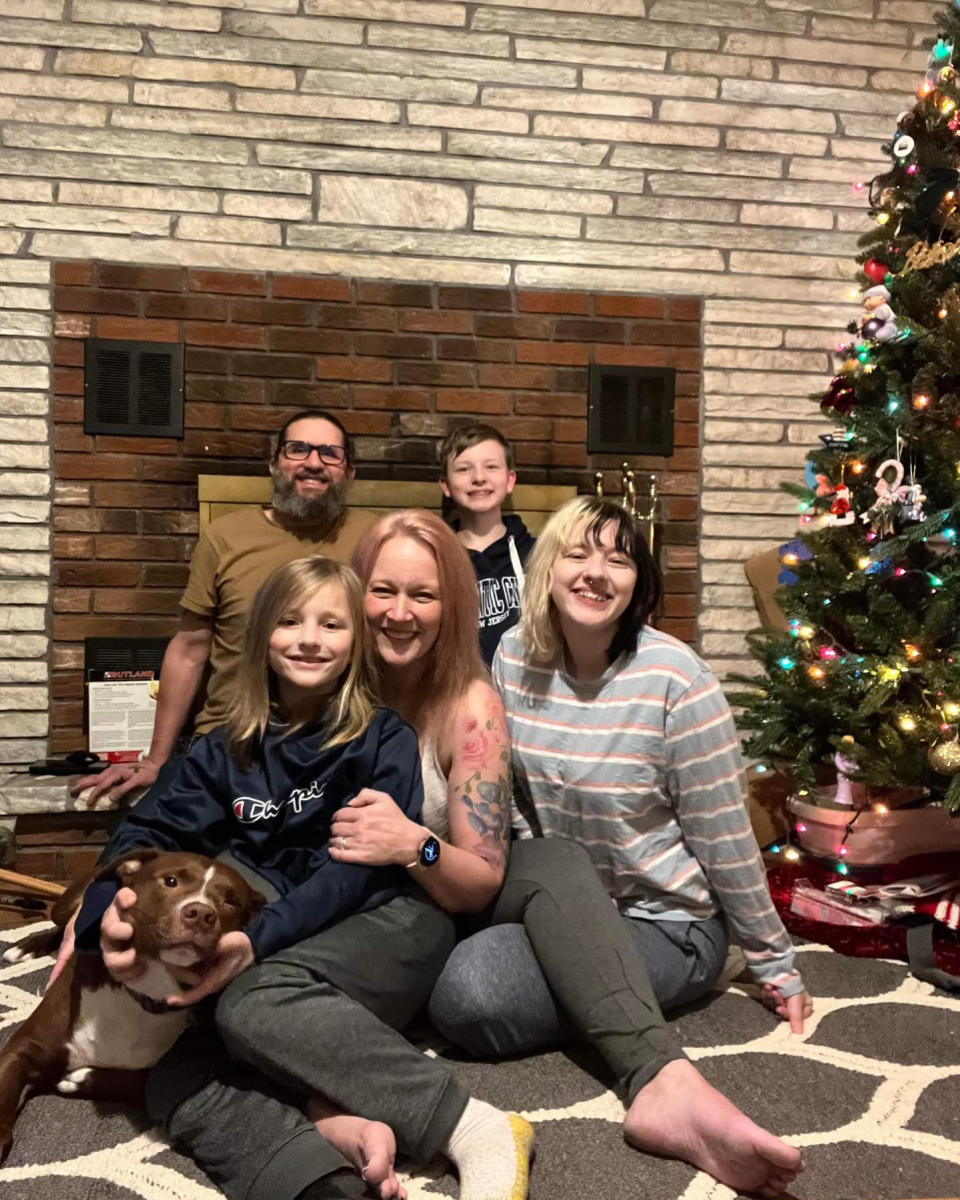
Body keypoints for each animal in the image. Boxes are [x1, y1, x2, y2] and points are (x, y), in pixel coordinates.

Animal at [0, 849, 262, 1166]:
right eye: (170, 881)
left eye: (231, 901)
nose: (201, 914)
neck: (145, 993)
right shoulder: (25, 1047)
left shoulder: (173, 1066)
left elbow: (141, 1081)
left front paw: (78, 1079)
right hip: (69, 903)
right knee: (64, 926)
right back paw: (25, 947)